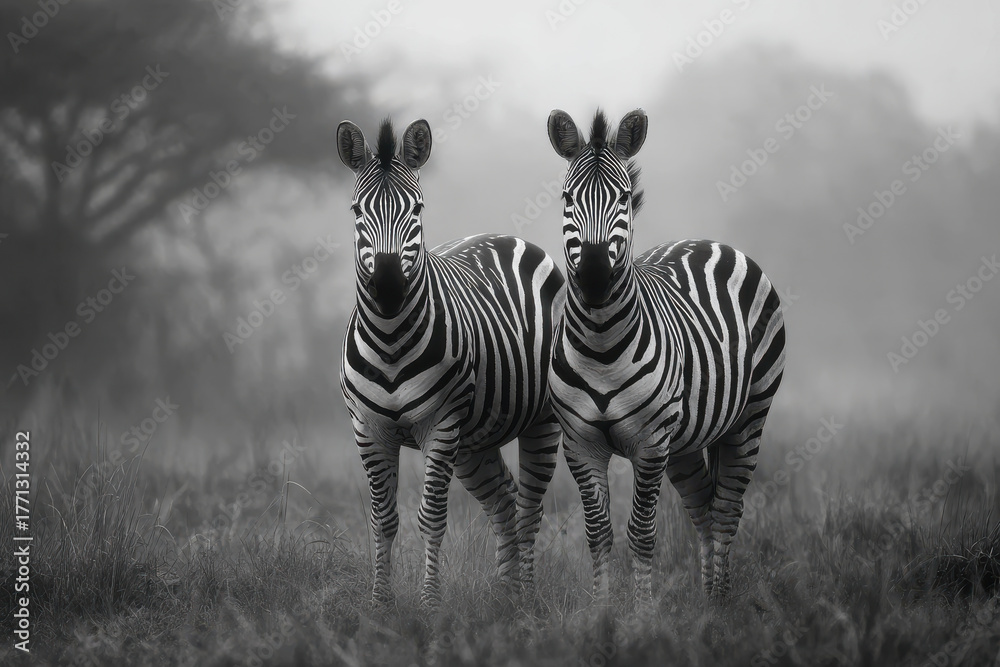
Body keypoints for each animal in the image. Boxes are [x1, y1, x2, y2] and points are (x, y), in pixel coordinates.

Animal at [336, 117, 565, 606]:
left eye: (417, 209)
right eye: (356, 211)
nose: (387, 287)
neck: (389, 340)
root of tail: (507, 235)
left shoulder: (439, 425)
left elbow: (431, 518)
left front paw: (430, 602)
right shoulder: (368, 428)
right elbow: (383, 519)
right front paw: (379, 604)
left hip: (541, 421)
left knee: (530, 508)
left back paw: (526, 598)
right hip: (474, 441)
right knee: (504, 501)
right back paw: (505, 594)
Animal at [545, 108, 786, 601]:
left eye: (622, 198)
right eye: (566, 197)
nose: (594, 276)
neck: (600, 344)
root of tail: (709, 241)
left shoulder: (651, 442)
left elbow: (641, 533)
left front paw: (642, 613)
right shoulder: (580, 443)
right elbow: (598, 533)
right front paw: (602, 610)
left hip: (749, 415)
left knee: (727, 510)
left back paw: (719, 604)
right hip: (687, 444)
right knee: (705, 509)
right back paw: (709, 600)